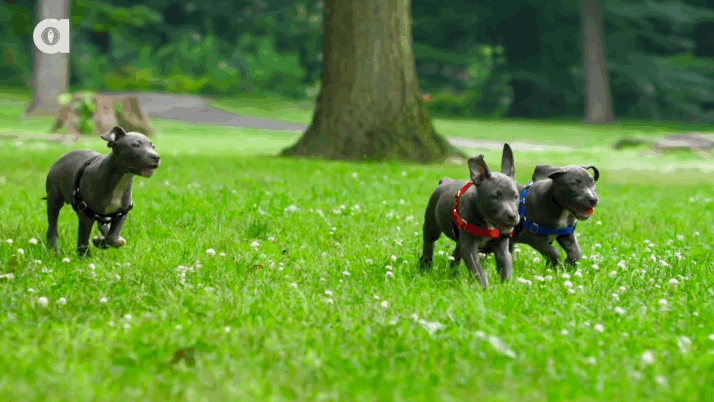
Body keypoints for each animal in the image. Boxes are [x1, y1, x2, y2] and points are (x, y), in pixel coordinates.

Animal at [418, 144, 516, 288]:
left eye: (516, 196)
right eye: (495, 196)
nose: (513, 216)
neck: (487, 224)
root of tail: (444, 181)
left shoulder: (502, 249)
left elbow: (505, 268)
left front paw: (506, 288)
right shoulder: (470, 249)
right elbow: (478, 271)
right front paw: (485, 288)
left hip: (460, 239)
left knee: (456, 254)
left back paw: (453, 274)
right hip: (432, 226)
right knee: (428, 245)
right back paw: (425, 267)